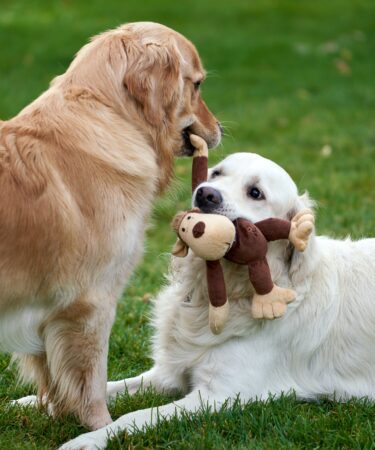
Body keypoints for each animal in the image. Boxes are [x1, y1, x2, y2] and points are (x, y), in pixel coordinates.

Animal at [0, 22, 222, 428]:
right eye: (197, 85)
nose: (220, 129)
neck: (108, 115)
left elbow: (53, 376)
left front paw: (55, 411)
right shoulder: (92, 301)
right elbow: (92, 380)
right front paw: (102, 427)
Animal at [61, 153, 375, 448]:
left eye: (255, 192)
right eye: (216, 173)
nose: (205, 193)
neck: (220, 294)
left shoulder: (220, 394)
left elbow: (136, 415)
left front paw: (89, 439)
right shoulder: (169, 373)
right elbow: (109, 387)